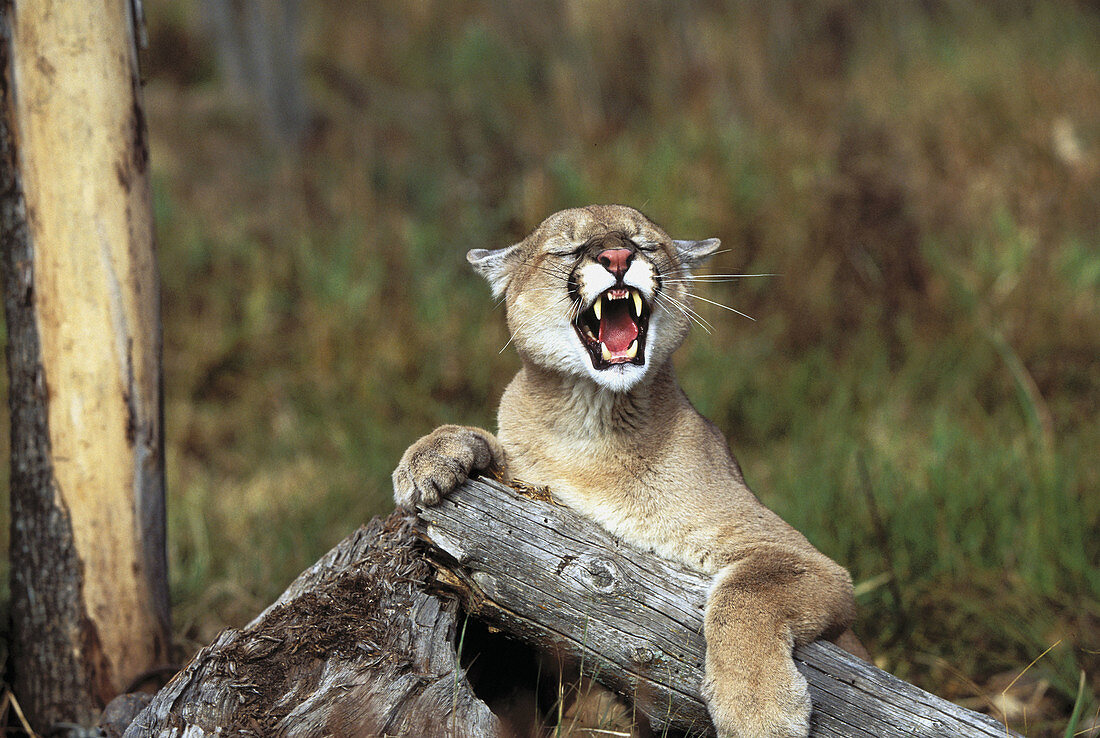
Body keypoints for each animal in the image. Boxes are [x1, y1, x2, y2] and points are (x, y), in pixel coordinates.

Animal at [393, 203, 858, 738]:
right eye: (569, 248)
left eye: (643, 243)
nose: (617, 258)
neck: (593, 425)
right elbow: (491, 446)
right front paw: (429, 459)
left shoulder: (802, 558)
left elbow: (743, 593)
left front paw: (761, 712)